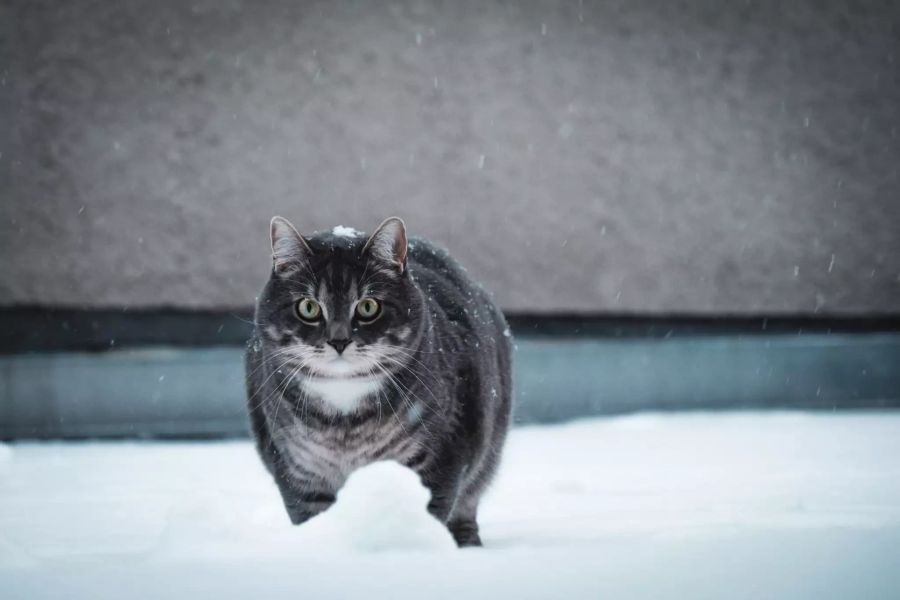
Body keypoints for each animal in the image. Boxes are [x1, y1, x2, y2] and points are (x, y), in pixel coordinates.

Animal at [246, 217, 512, 548]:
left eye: (368, 307)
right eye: (308, 308)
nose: (339, 340)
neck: (344, 417)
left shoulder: (441, 456)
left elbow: (429, 510)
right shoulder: (297, 470)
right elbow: (311, 517)